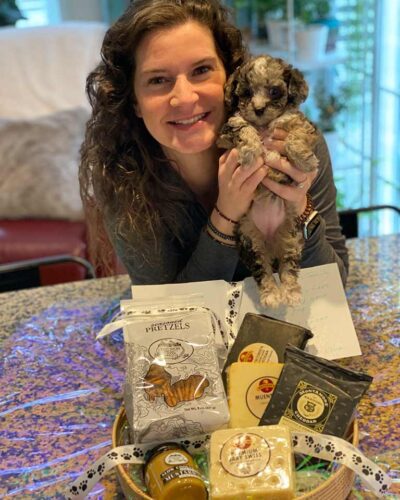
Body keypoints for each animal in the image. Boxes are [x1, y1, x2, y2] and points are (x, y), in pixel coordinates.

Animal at [219, 53, 318, 304]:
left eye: (274, 91)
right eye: (246, 93)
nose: (259, 109)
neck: (264, 125)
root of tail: (271, 241)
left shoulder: (302, 125)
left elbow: (295, 137)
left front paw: (305, 161)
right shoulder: (225, 133)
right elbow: (243, 127)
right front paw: (250, 151)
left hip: (291, 237)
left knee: (288, 267)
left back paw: (291, 293)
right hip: (250, 239)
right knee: (262, 269)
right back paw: (272, 294)